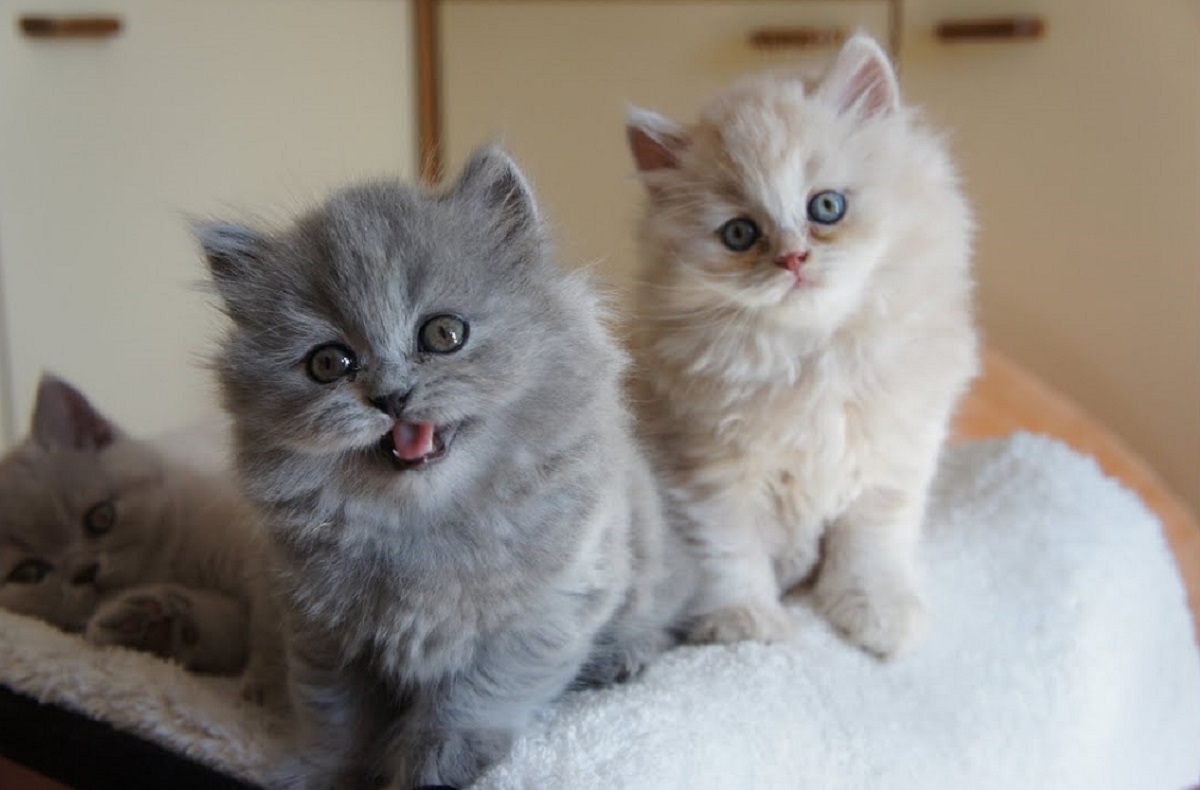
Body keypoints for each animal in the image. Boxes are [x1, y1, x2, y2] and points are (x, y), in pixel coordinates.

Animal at [0, 374, 283, 701]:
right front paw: (150, 625)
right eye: (28, 572)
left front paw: (269, 692)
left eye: (100, 518)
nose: (85, 570)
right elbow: (227, 629)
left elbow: (272, 624)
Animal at [196, 144, 696, 782]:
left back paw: (622, 656)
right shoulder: (319, 631)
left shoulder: (546, 609)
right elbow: (332, 714)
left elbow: (478, 693)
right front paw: (316, 770)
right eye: (329, 363)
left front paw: (437, 759)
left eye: (443, 334)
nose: (390, 397)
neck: (422, 528)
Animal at [628, 33, 974, 653]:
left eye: (826, 207)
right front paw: (743, 625)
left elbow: (871, 546)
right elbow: (728, 554)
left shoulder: (891, 461)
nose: (793, 259)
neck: (814, 361)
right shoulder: (700, 475)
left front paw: (878, 615)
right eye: (740, 234)